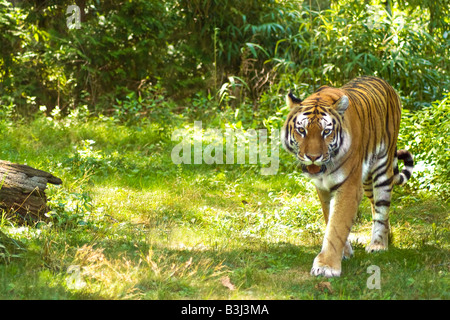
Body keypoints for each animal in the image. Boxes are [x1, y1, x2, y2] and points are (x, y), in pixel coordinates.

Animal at [284, 75, 414, 278]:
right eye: (302, 131)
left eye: (326, 132)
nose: (313, 157)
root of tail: (384, 82)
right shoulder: (323, 188)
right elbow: (330, 218)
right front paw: (344, 252)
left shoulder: (348, 186)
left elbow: (337, 223)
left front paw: (327, 265)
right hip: (366, 181)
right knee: (374, 206)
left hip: (382, 169)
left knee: (382, 208)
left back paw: (379, 244)